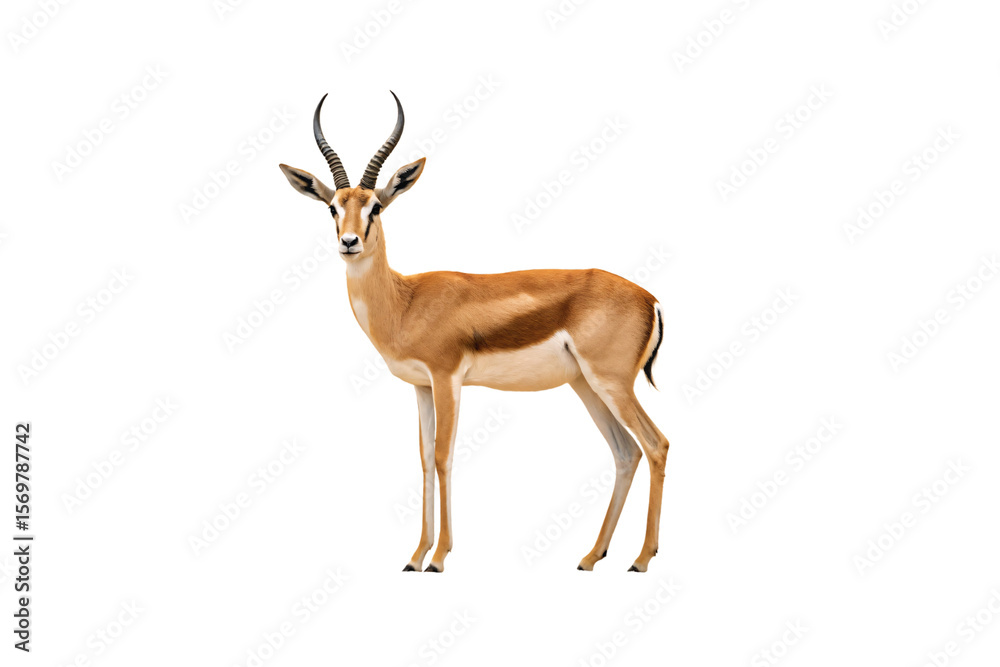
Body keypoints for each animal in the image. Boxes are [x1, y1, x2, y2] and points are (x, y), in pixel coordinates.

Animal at [279, 92, 670, 572]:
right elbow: (424, 458)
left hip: (612, 382)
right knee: (625, 452)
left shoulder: (447, 378)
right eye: (334, 206)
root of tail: (649, 298)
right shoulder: (422, 386)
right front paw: (414, 556)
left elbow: (444, 455)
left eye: (376, 207)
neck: (405, 301)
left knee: (656, 444)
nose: (349, 242)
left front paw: (438, 558)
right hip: (586, 385)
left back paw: (641, 559)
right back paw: (591, 557)